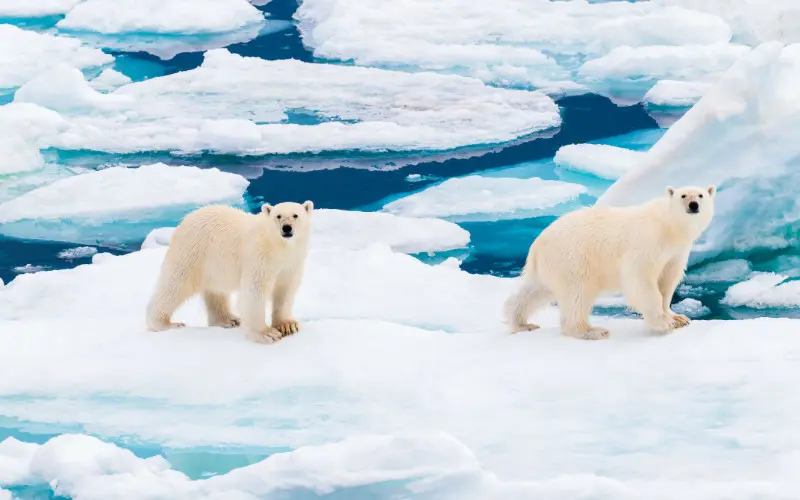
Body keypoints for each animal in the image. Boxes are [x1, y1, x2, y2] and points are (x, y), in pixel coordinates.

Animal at [145, 201, 313, 344]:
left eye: (295, 215)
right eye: (278, 216)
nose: (287, 228)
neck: (279, 247)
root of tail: (185, 220)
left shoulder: (291, 263)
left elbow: (285, 289)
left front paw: (287, 325)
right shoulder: (259, 257)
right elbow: (254, 291)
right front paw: (267, 334)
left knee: (215, 291)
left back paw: (229, 319)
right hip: (192, 251)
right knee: (175, 284)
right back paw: (164, 323)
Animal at [504, 185, 716, 340]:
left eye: (701, 195)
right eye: (683, 195)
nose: (693, 205)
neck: (669, 227)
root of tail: (537, 245)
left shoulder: (675, 253)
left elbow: (667, 282)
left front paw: (678, 318)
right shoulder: (648, 242)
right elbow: (640, 277)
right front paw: (662, 323)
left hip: (550, 266)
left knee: (534, 291)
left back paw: (521, 322)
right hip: (573, 259)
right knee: (577, 294)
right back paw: (591, 330)